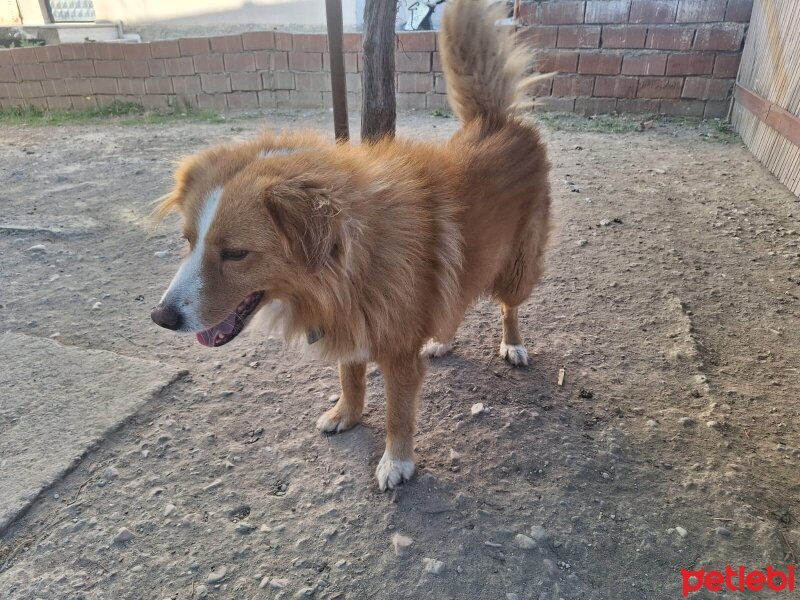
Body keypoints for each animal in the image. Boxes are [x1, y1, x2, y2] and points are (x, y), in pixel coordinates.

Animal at [150, 0, 552, 490]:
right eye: (188, 241)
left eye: (235, 253)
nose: (162, 317)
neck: (348, 261)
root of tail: (493, 120)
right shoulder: (349, 324)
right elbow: (351, 376)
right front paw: (348, 414)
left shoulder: (396, 355)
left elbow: (398, 413)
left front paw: (397, 461)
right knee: (453, 299)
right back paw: (440, 340)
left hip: (518, 269)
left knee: (508, 306)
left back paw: (512, 344)